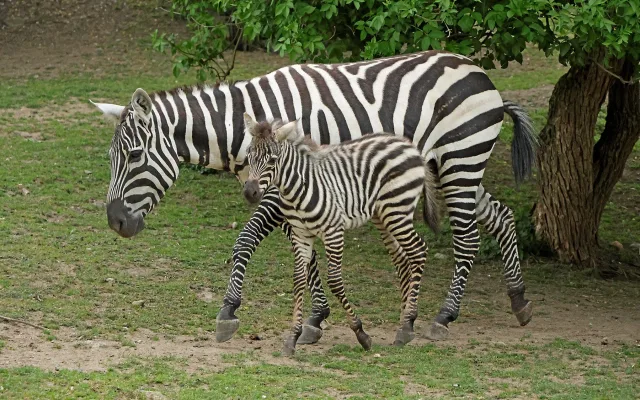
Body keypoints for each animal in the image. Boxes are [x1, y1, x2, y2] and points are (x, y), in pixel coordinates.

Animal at [243, 114, 440, 355]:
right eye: (249, 155)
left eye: (272, 160)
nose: (249, 192)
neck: (298, 188)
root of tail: (410, 146)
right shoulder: (301, 235)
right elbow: (298, 280)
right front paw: (293, 337)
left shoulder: (333, 231)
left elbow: (335, 281)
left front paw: (361, 333)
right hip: (383, 215)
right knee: (403, 259)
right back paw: (405, 322)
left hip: (397, 210)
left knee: (418, 251)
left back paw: (406, 325)